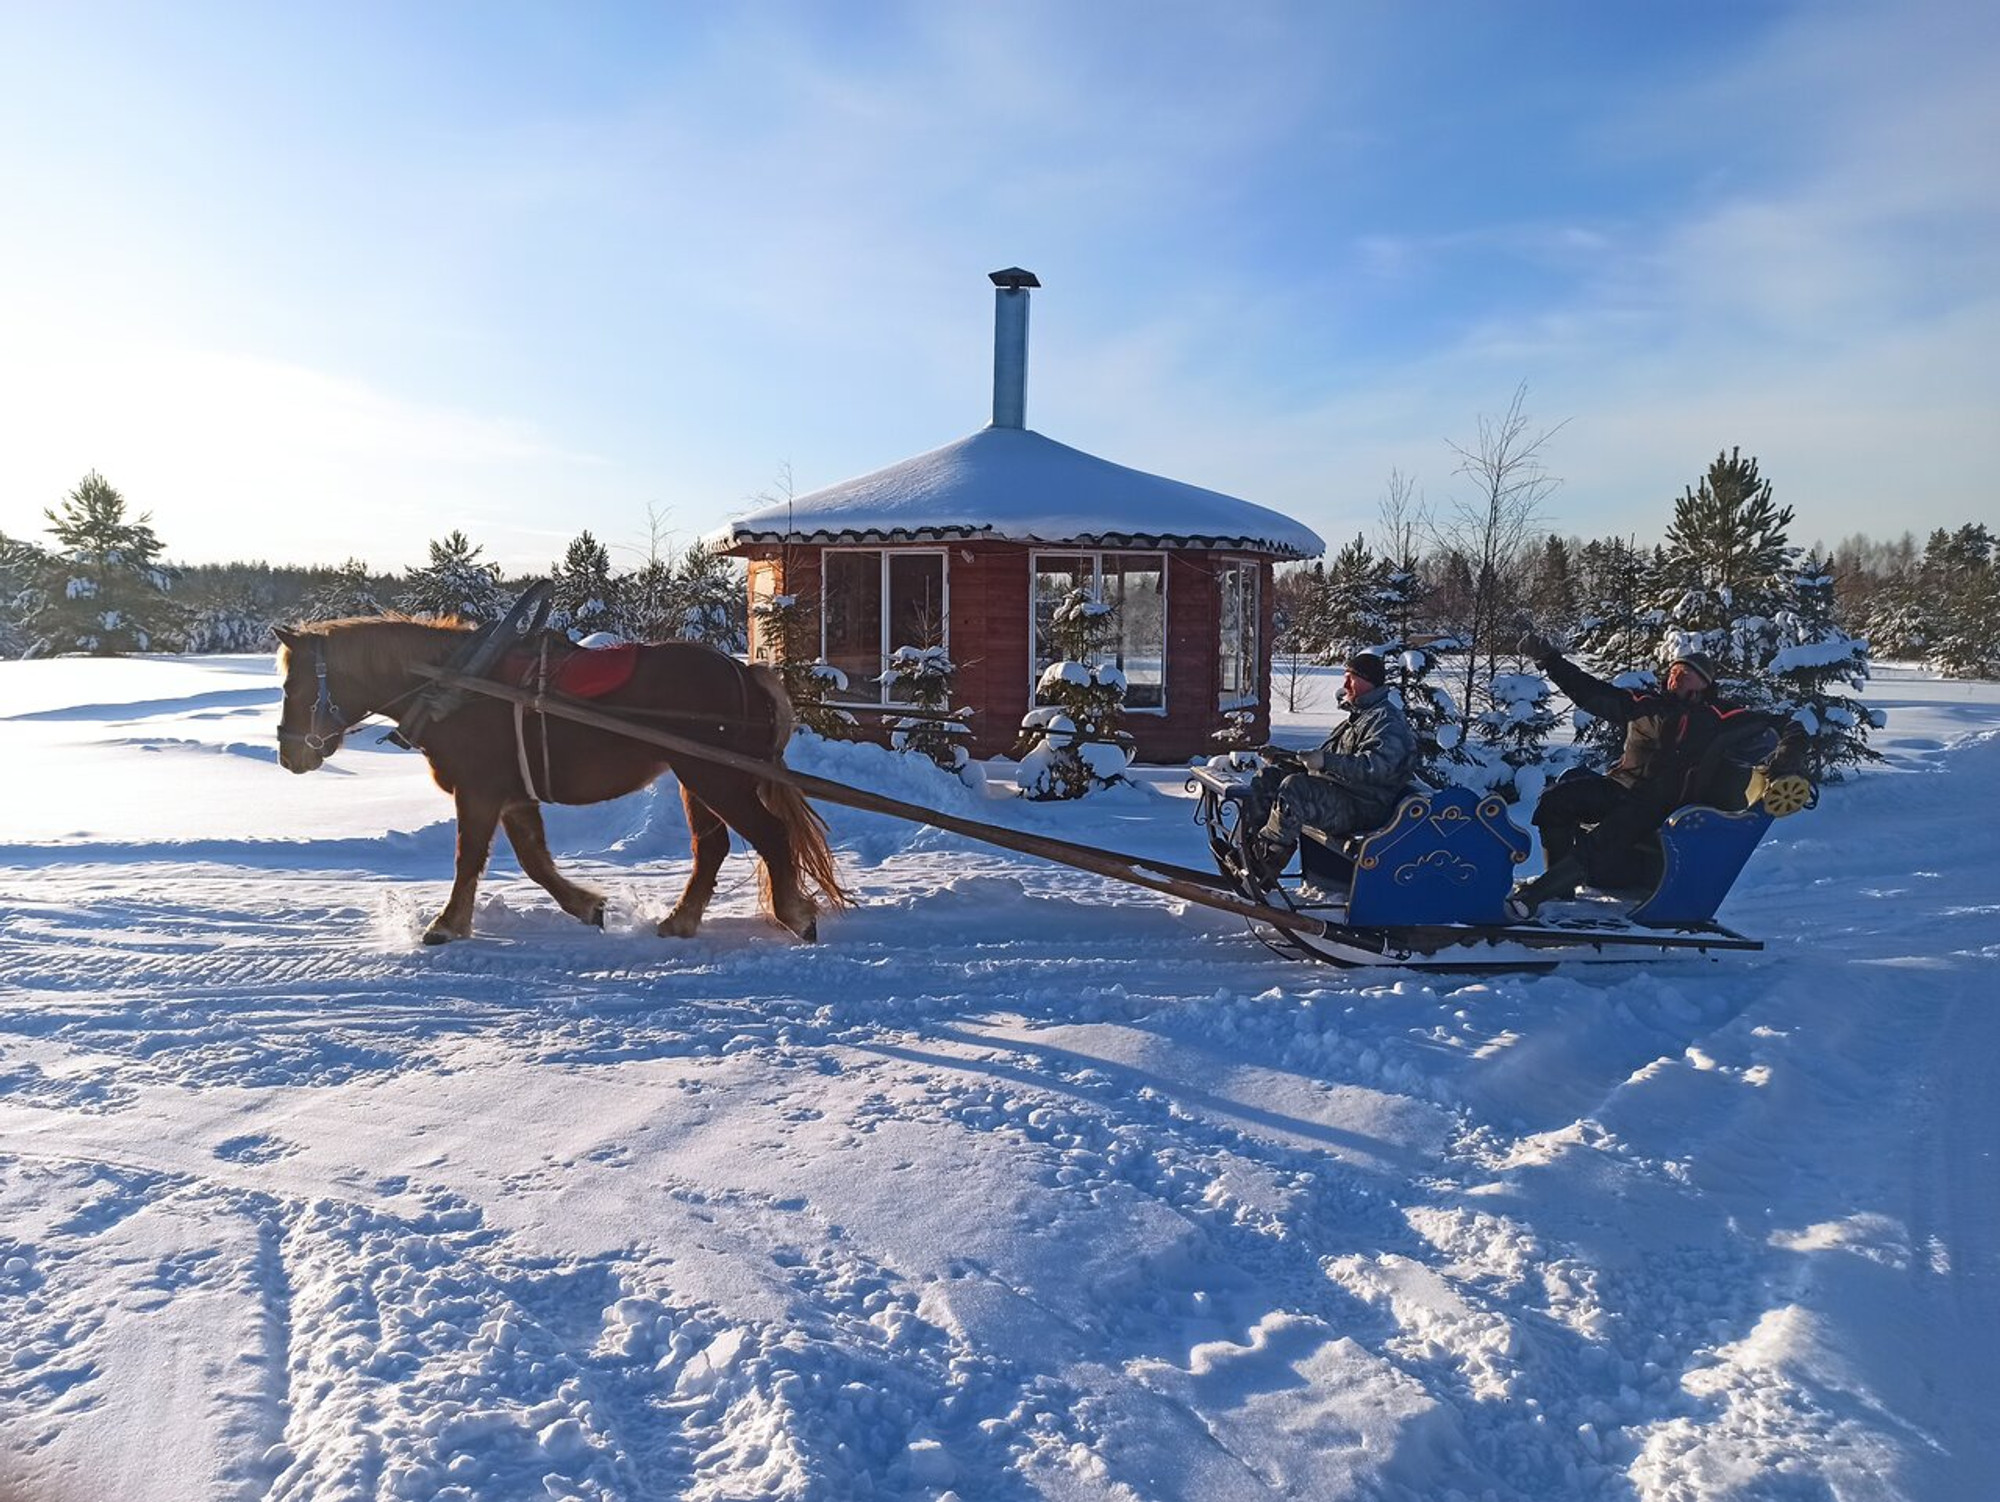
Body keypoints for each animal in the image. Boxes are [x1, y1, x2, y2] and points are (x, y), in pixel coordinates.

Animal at [272, 616, 844, 944]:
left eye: (291, 685)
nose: (288, 755)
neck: (456, 686)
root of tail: (743, 670)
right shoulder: (512, 796)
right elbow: (534, 861)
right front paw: (588, 907)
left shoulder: (479, 791)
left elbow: (469, 859)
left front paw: (446, 925)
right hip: (697, 777)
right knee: (713, 848)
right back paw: (682, 921)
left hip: (715, 775)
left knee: (770, 836)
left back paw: (795, 916)